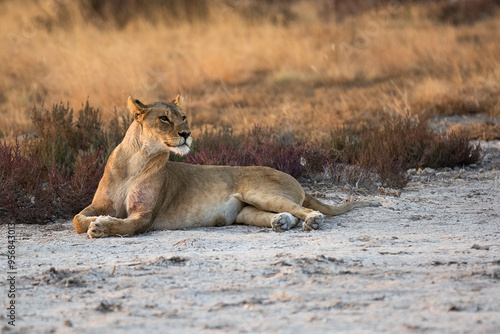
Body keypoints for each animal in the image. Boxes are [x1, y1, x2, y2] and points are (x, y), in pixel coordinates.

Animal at [73, 95, 378, 239]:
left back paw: (312, 220)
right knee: (283, 214)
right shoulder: (100, 203)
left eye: (183, 116)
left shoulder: (145, 216)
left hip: (259, 192)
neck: (136, 161)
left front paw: (101, 227)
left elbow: (125, 226)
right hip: (246, 211)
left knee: (303, 209)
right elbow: (77, 219)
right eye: (164, 118)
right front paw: (94, 222)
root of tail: (293, 177)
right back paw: (281, 222)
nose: (187, 134)